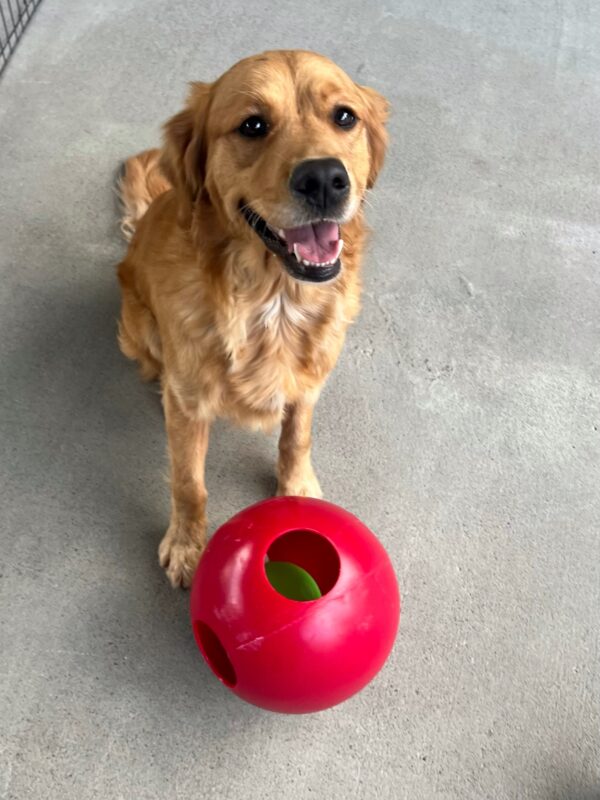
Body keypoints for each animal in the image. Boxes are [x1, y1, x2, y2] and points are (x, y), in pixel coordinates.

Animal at [117, 50, 390, 588]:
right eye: (253, 125)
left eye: (344, 117)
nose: (324, 179)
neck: (273, 301)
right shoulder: (189, 403)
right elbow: (188, 482)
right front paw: (186, 544)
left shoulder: (308, 380)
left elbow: (296, 437)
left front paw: (296, 488)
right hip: (137, 327)